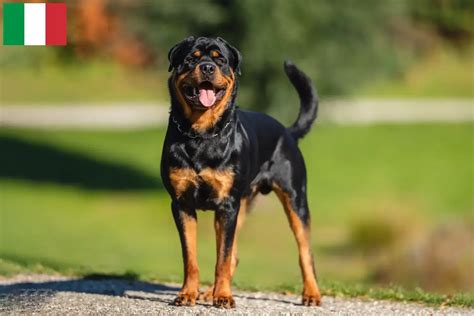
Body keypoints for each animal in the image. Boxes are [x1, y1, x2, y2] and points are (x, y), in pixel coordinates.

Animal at [161, 35, 320, 308]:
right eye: (191, 58)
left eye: (221, 60)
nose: (207, 67)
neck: (201, 134)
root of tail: (288, 132)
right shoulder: (182, 204)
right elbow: (190, 257)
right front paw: (187, 294)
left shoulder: (227, 205)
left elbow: (222, 258)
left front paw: (224, 296)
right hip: (243, 204)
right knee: (233, 253)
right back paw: (208, 291)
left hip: (294, 199)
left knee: (304, 251)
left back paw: (311, 294)